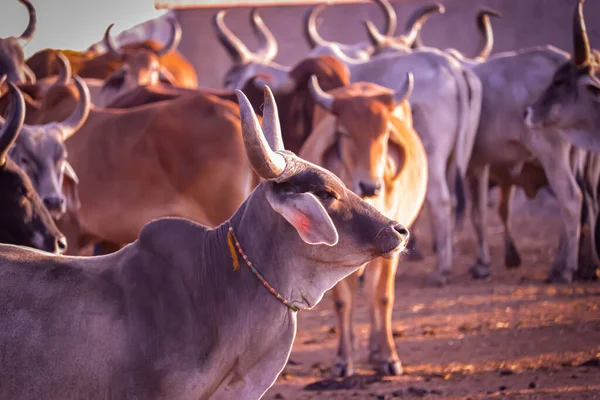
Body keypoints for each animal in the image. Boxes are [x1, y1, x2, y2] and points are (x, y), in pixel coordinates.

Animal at [300, 74, 426, 376]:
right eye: (345, 134)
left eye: (384, 134)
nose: (370, 185)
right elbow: (343, 301)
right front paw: (343, 360)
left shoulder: (394, 246)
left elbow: (382, 298)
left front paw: (389, 357)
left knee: (372, 293)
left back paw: (375, 349)